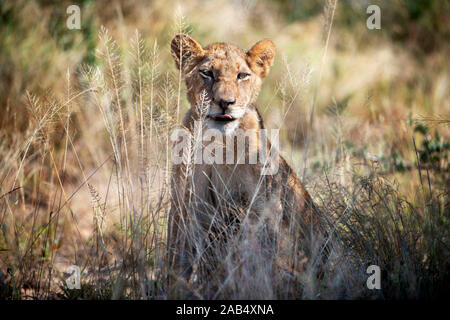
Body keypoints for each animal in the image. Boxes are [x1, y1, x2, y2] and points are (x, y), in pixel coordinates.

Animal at [167, 33, 326, 298]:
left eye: (242, 75)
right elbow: (177, 259)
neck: (218, 145)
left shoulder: (264, 209)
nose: (225, 102)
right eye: (207, 73)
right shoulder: (184, 206)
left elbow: (257, 258)